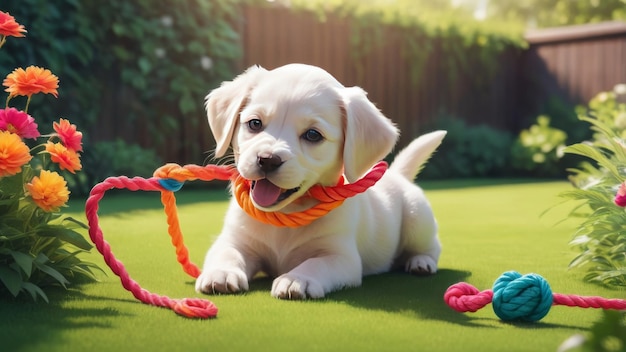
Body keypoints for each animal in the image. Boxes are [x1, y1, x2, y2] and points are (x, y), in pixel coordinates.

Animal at [195, 64, 444, 300]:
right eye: (255, 123)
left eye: (313, 135)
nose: (267, 160)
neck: (285, 217)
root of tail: (398, 174)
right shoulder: (235, 239)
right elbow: (226, 253)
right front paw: (221, 273)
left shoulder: (341, 256)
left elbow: (316, 264)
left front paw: (297, 279)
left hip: (417, 220)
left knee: (431, 247)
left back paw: (421, 262)